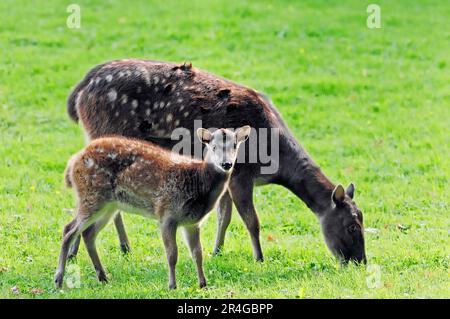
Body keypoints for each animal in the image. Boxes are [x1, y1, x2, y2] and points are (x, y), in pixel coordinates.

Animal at [67, 60, 370, 264]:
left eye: (362, 220)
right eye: (351, 226)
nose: (359, 261)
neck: (273, 160)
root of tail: (79, 92)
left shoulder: (228, 174)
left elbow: (225, 216)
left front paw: (217, 251)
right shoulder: (242, 172)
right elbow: (251, 220)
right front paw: (259, 258)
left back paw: (115, 248)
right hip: (103, 134)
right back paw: (88, 251)